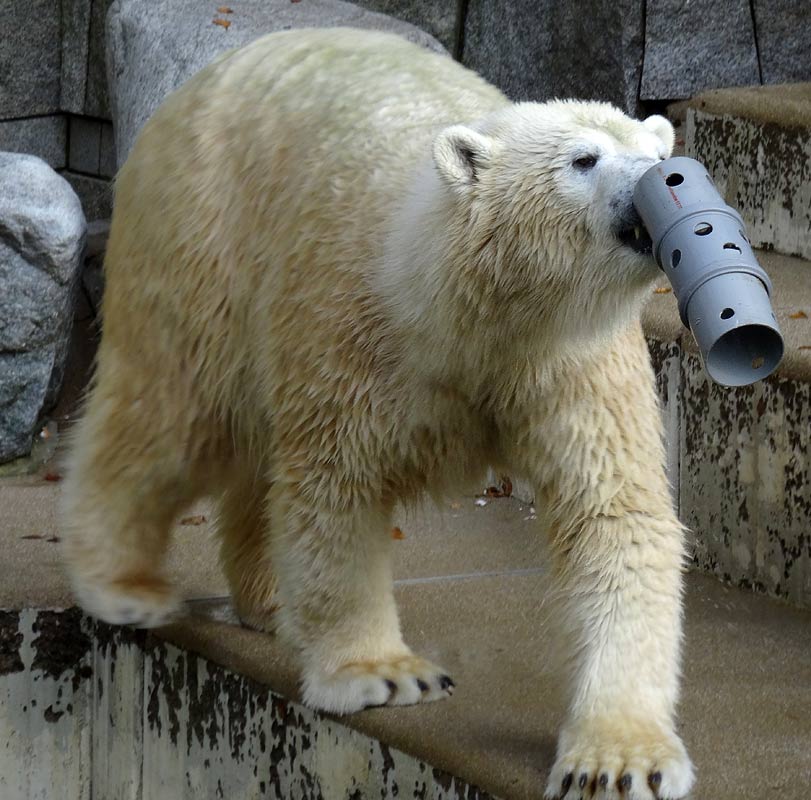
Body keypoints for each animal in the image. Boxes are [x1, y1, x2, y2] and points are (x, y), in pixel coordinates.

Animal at [63, 28, 696, 796]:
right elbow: (338, 487)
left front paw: (619, 760)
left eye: (654, 150)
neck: (471, 308)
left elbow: (613, 515)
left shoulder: (570, 363)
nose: (663, 177)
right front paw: (384, 675)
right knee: (173, 416)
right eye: (584, 158)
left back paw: (269, 601)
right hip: (201, 236)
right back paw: (122, 585)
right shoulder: (355, 332)